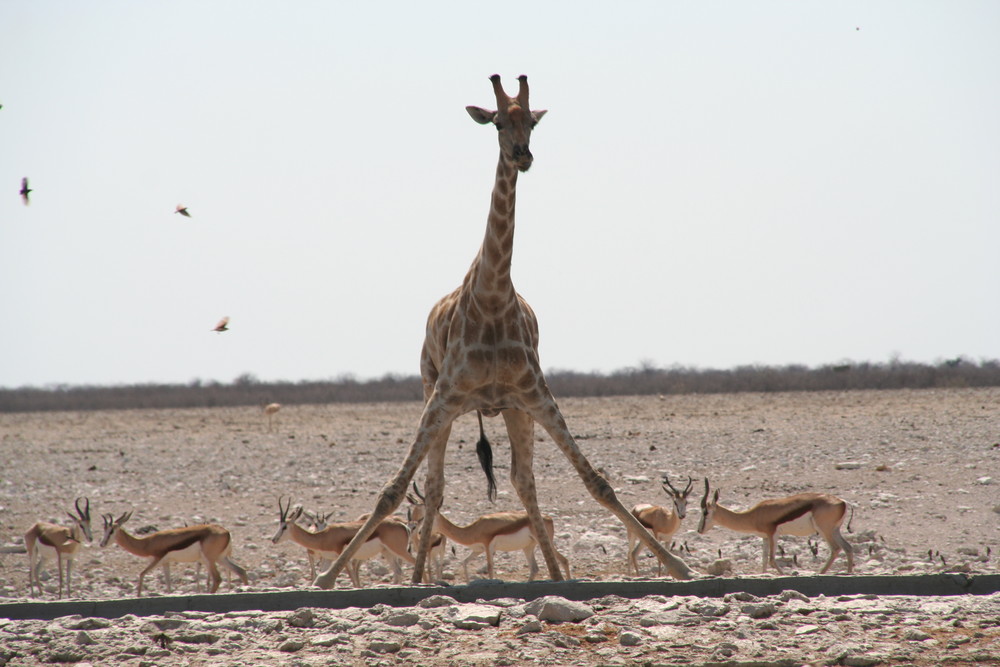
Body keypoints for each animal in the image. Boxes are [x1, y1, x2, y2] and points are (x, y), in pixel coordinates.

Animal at [316, 75, 692, 588]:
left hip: (513, 410)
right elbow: (393, 490)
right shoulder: (444, 396)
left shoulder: (536, 395)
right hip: (432, 390)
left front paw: (678, 565)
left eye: (532, 121)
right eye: (496, 122)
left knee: (520, 479)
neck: (492, 297)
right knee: (434, 485)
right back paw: (416, 579)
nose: (522, 155)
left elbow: (596, 482)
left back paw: (553, 575)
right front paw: (325, 577)